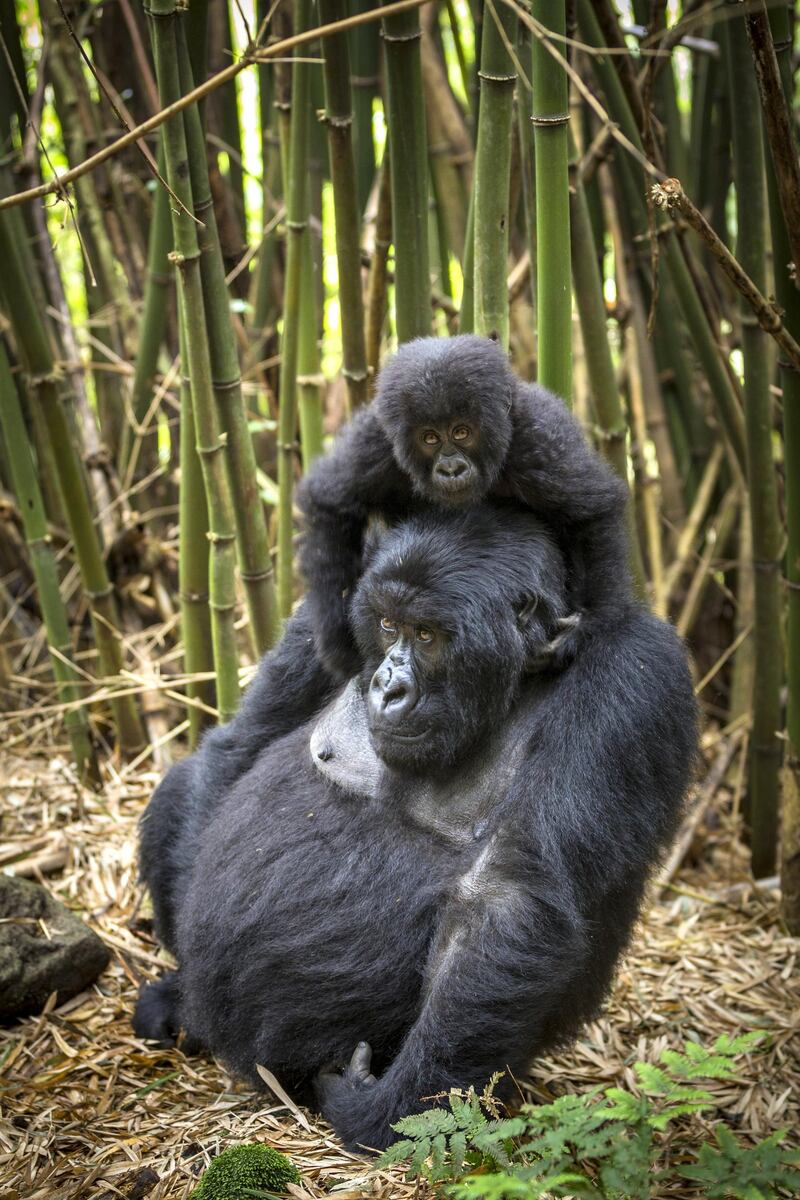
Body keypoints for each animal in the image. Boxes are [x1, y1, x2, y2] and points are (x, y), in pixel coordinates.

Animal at [133, 501, 695, 1147]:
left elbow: (508, 898)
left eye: (427, 635)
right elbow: (240, 745)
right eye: (386, 626)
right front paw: (183, 993)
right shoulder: (323, 616)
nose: (388, 686)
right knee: (186, 783)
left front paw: (384, 1111)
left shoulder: (633, 674)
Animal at [299, 333, 633, 681]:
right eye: (430, 438)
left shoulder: (539, 442)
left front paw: (587, 625)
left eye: (461, 432)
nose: (451, 469)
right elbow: (330, 503)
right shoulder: (374, 441)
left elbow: (592, 513)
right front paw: (336, 639)